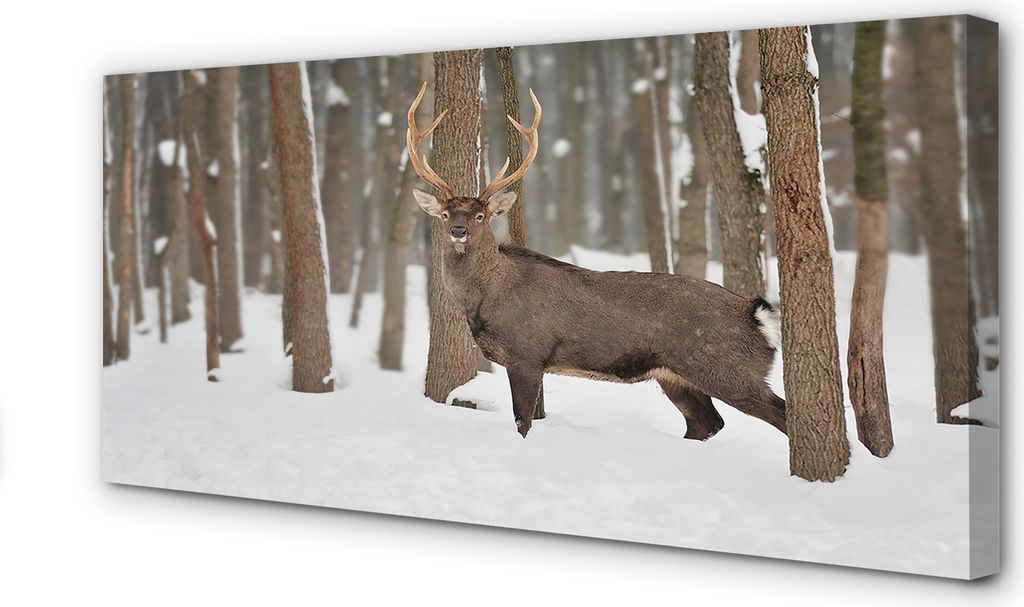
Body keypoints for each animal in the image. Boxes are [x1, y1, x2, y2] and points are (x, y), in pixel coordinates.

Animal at [406, 83, 787, 440]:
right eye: (444, 213)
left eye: (480, 215)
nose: (458, 231)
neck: (487, 297)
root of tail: (756, 314)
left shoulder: (527, 353)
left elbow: (522, 422)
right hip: (675, 375)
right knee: (707, 423)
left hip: (725, 368)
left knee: (778, 413)